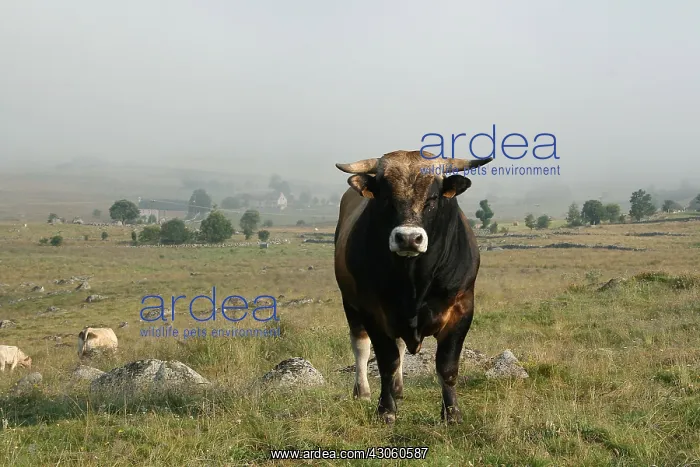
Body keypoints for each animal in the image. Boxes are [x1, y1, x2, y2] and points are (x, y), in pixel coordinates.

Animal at [334, 150, 493, 423]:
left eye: (433, 197)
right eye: (386, 197)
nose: (408, 238)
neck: (414, 281)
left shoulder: (461, 309)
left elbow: (447, 366)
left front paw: (452, 413)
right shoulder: (372, 311)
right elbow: (386, 362)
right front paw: (386, 410)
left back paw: (398, 389)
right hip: (351, 305)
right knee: (361, 346)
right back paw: (363, 391)